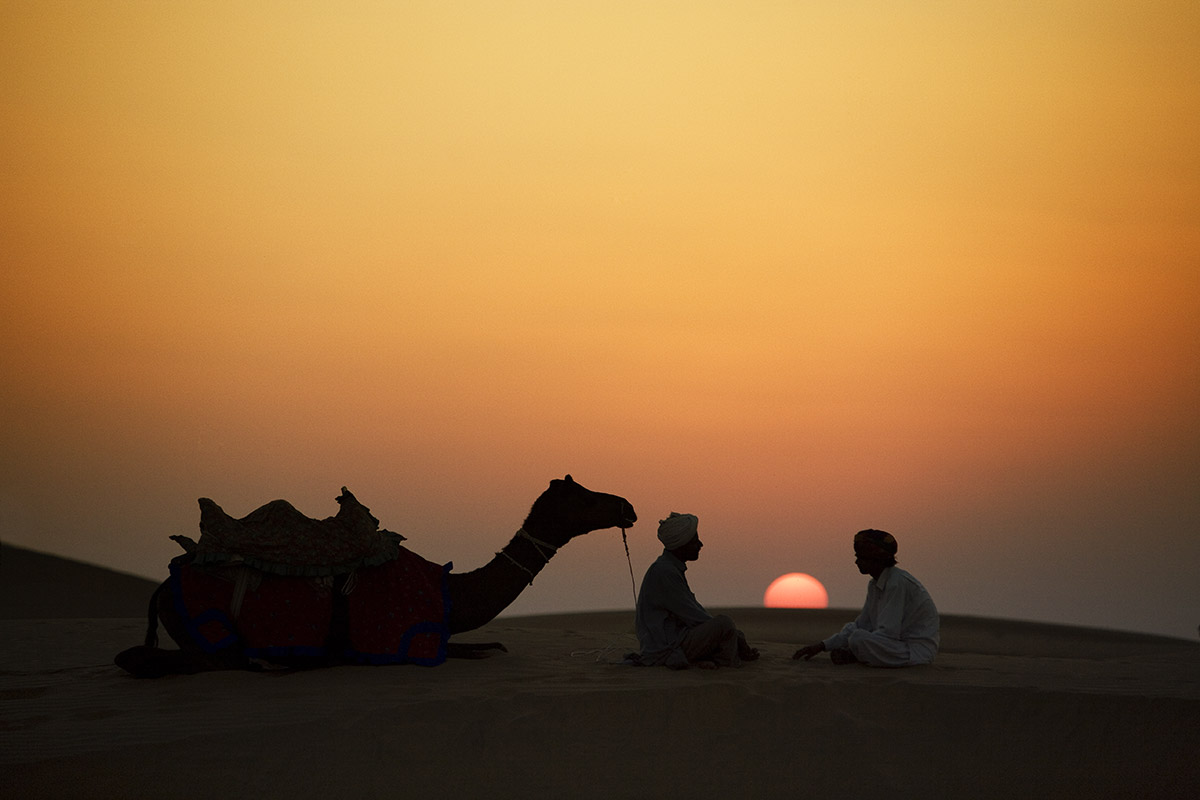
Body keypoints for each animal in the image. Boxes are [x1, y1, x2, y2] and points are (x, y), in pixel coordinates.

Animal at [114, 474, 638, 676]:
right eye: (585, 496)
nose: (628, 506)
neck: (450, 590)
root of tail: (164, 586)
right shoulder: (408, 639)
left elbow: (489, 646)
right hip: (209, 631)